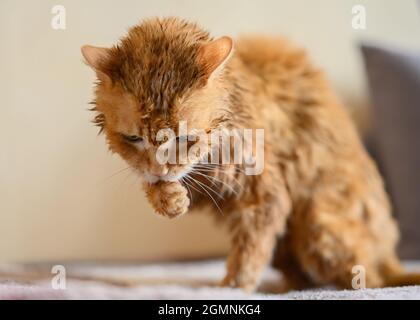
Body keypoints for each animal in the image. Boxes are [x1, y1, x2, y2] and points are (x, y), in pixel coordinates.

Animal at [82, 17, 420, 292]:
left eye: (186, 138)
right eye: (133, 138)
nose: (161, 169)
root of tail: (391, 254)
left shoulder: (264, 194)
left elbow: (249, 251)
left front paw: (233, 289)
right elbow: (153, 182)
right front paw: (169, 200)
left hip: (320, 226)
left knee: (370, 278)